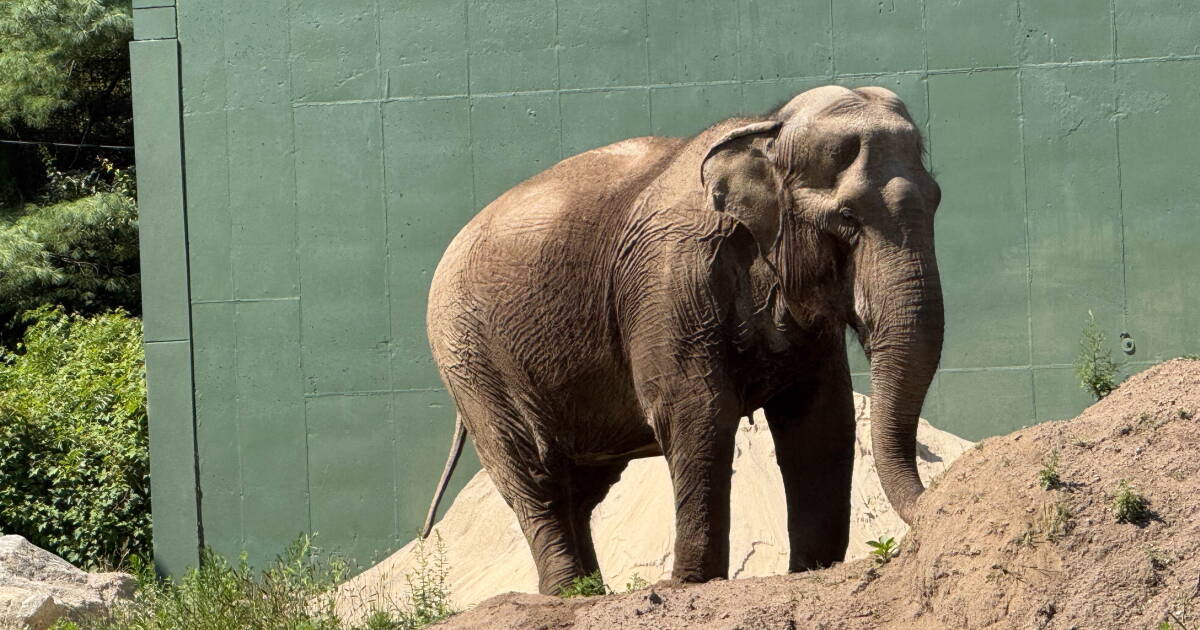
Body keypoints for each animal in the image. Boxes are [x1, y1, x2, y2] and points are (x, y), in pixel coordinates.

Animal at [420, 85, 944, 595]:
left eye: (937, 199)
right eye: (847, 218)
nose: (935, 504)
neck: (765, 130)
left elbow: (820, 420)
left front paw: (811, 571)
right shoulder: (670, 277)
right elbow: (698, 408)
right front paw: (689, 583)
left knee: (582, 489)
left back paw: (592, 593)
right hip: (472, 361)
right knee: (532, 475)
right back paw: (568, 595)